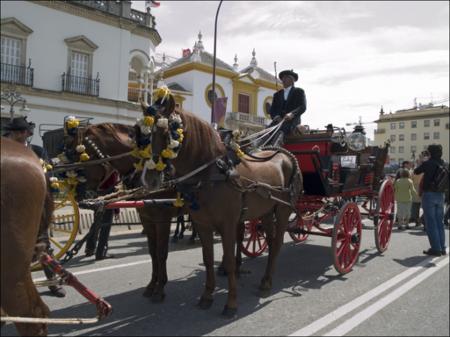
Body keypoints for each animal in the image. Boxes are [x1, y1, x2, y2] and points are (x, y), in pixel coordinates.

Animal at [145, 94, 302, 316]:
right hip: (265, 212)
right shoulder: (203, 225)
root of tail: (284, 154)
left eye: (169, 133)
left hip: (282, 210)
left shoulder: (227, 225)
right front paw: (207, 296)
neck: (214, 173)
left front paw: (231, 303)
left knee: (278, 242)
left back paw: (267, 282)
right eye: (149, 135)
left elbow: (228, 259)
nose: (150, 179)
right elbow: (208, 258)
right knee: (271, 242)